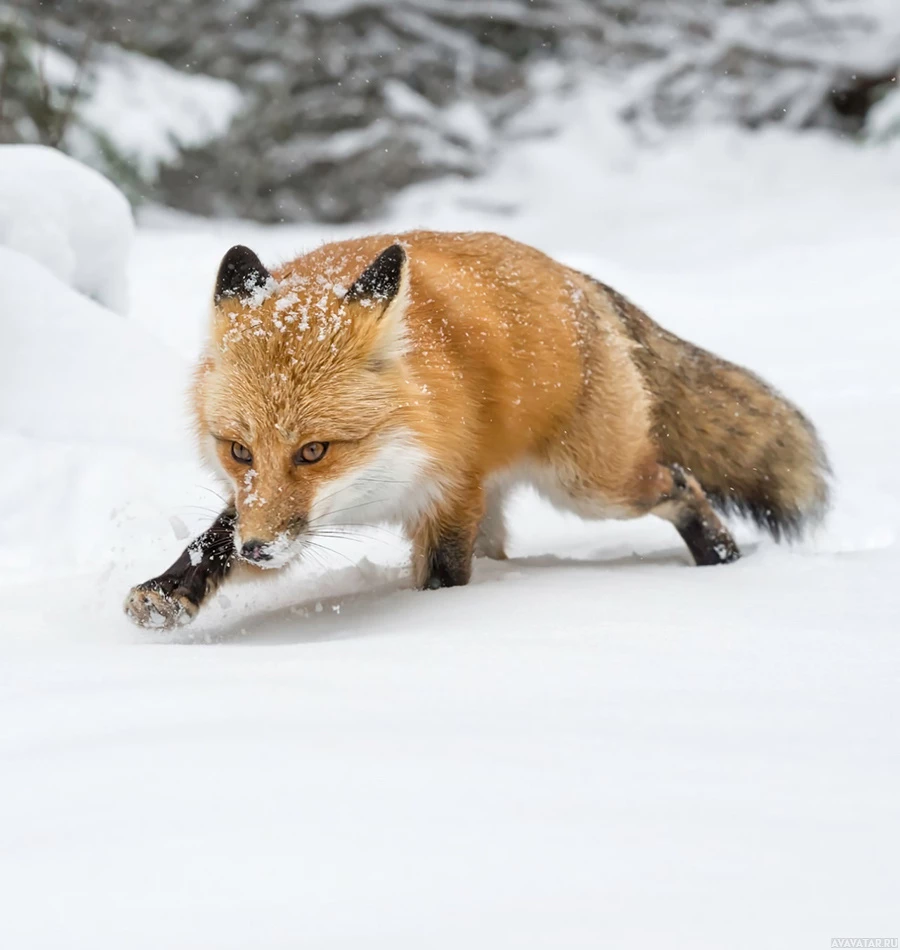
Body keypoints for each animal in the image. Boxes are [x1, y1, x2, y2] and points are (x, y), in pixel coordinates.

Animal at [125, 231, 828, 632]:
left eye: (314, 450)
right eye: (239, 450)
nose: (260, 551)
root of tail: (576, 279)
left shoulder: (451, 493)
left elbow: (440, 577)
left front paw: (443, 621)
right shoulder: (270, 514)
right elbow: (212, 541)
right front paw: (170, 591)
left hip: (592, 486)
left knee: (680, 481)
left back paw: (721, 560)